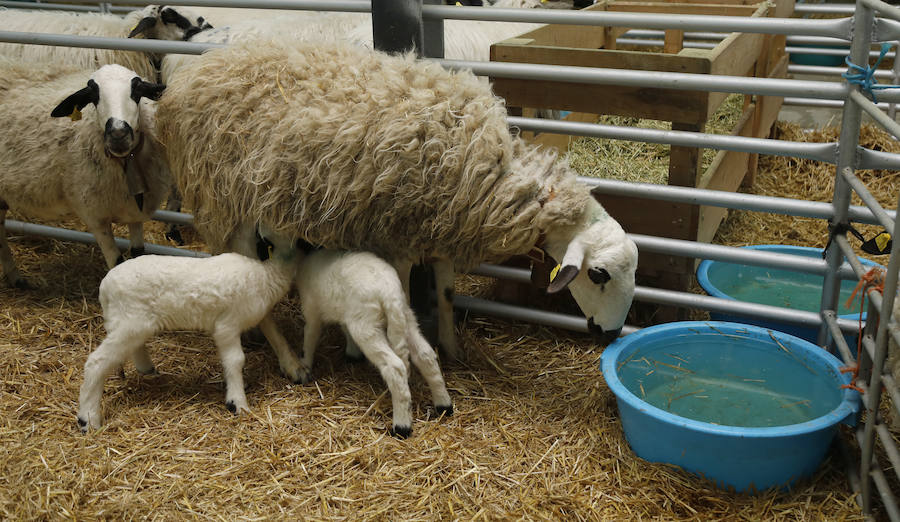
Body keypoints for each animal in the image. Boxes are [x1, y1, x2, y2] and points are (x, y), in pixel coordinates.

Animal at [0, 59, 171, 286]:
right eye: (93, 95)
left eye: (137, 90)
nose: (118, 134)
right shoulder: (94, 215)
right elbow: (116, 263)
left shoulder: (134, 211)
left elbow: (137, 255)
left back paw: (15, 278)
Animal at [75, 223, 298, 430]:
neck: (266, 274)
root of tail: (105, 287)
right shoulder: (227, 326)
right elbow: (235, 360)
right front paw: (238, 404)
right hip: (130, 323)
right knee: (96, 362)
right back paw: (88, 419)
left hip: (129, 324)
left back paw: (147, 369)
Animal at [153, 38, 632, 376]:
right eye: (598, 274)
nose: (608, 334)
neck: (490, 173)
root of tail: (190, 74)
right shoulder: (399, 235)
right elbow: (402, 297)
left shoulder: (439, 228)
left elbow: (446, 294)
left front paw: (453, 350)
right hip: (224, 201)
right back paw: (289, 361)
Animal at [296, 246, 454, 436]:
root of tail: (389, 294)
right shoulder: (346, 313)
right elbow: (345, 329)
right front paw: (352, 354)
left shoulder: (312, 310)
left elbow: (309, 338)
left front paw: (304, 365)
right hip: (405, 316)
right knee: (426, 356)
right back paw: (444, 405)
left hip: (367, 326)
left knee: (395, 368)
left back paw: (402, 427)